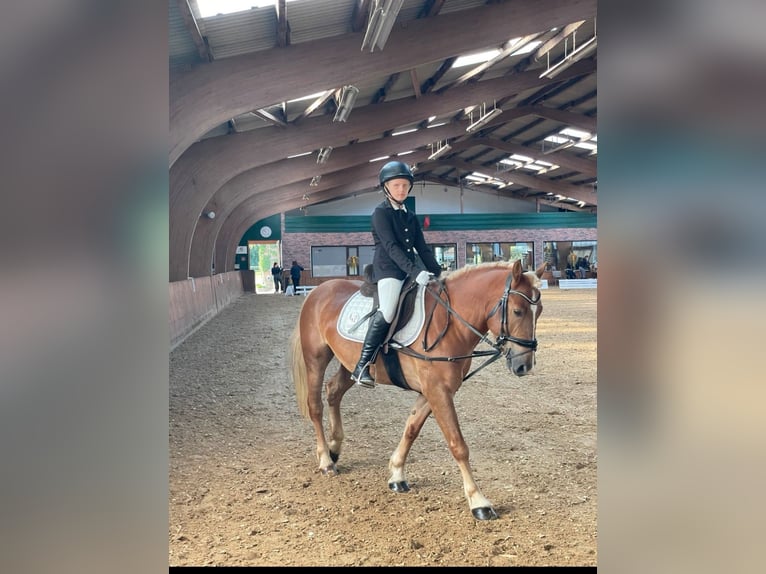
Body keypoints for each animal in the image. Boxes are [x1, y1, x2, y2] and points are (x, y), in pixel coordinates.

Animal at [290, 260, 544, 520]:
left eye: (540, 310)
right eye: (517, 311)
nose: (524, 365)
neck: (450, 322)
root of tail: (319, 291)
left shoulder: (432, 392)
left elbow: (411, 429)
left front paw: (396, 474)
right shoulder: (437, 391)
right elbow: (458, 445)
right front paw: (478, 501)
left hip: (350, 363)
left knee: (334, 391)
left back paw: (334, 448)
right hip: (315, 359)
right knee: (315, 406)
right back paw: (325, 460)